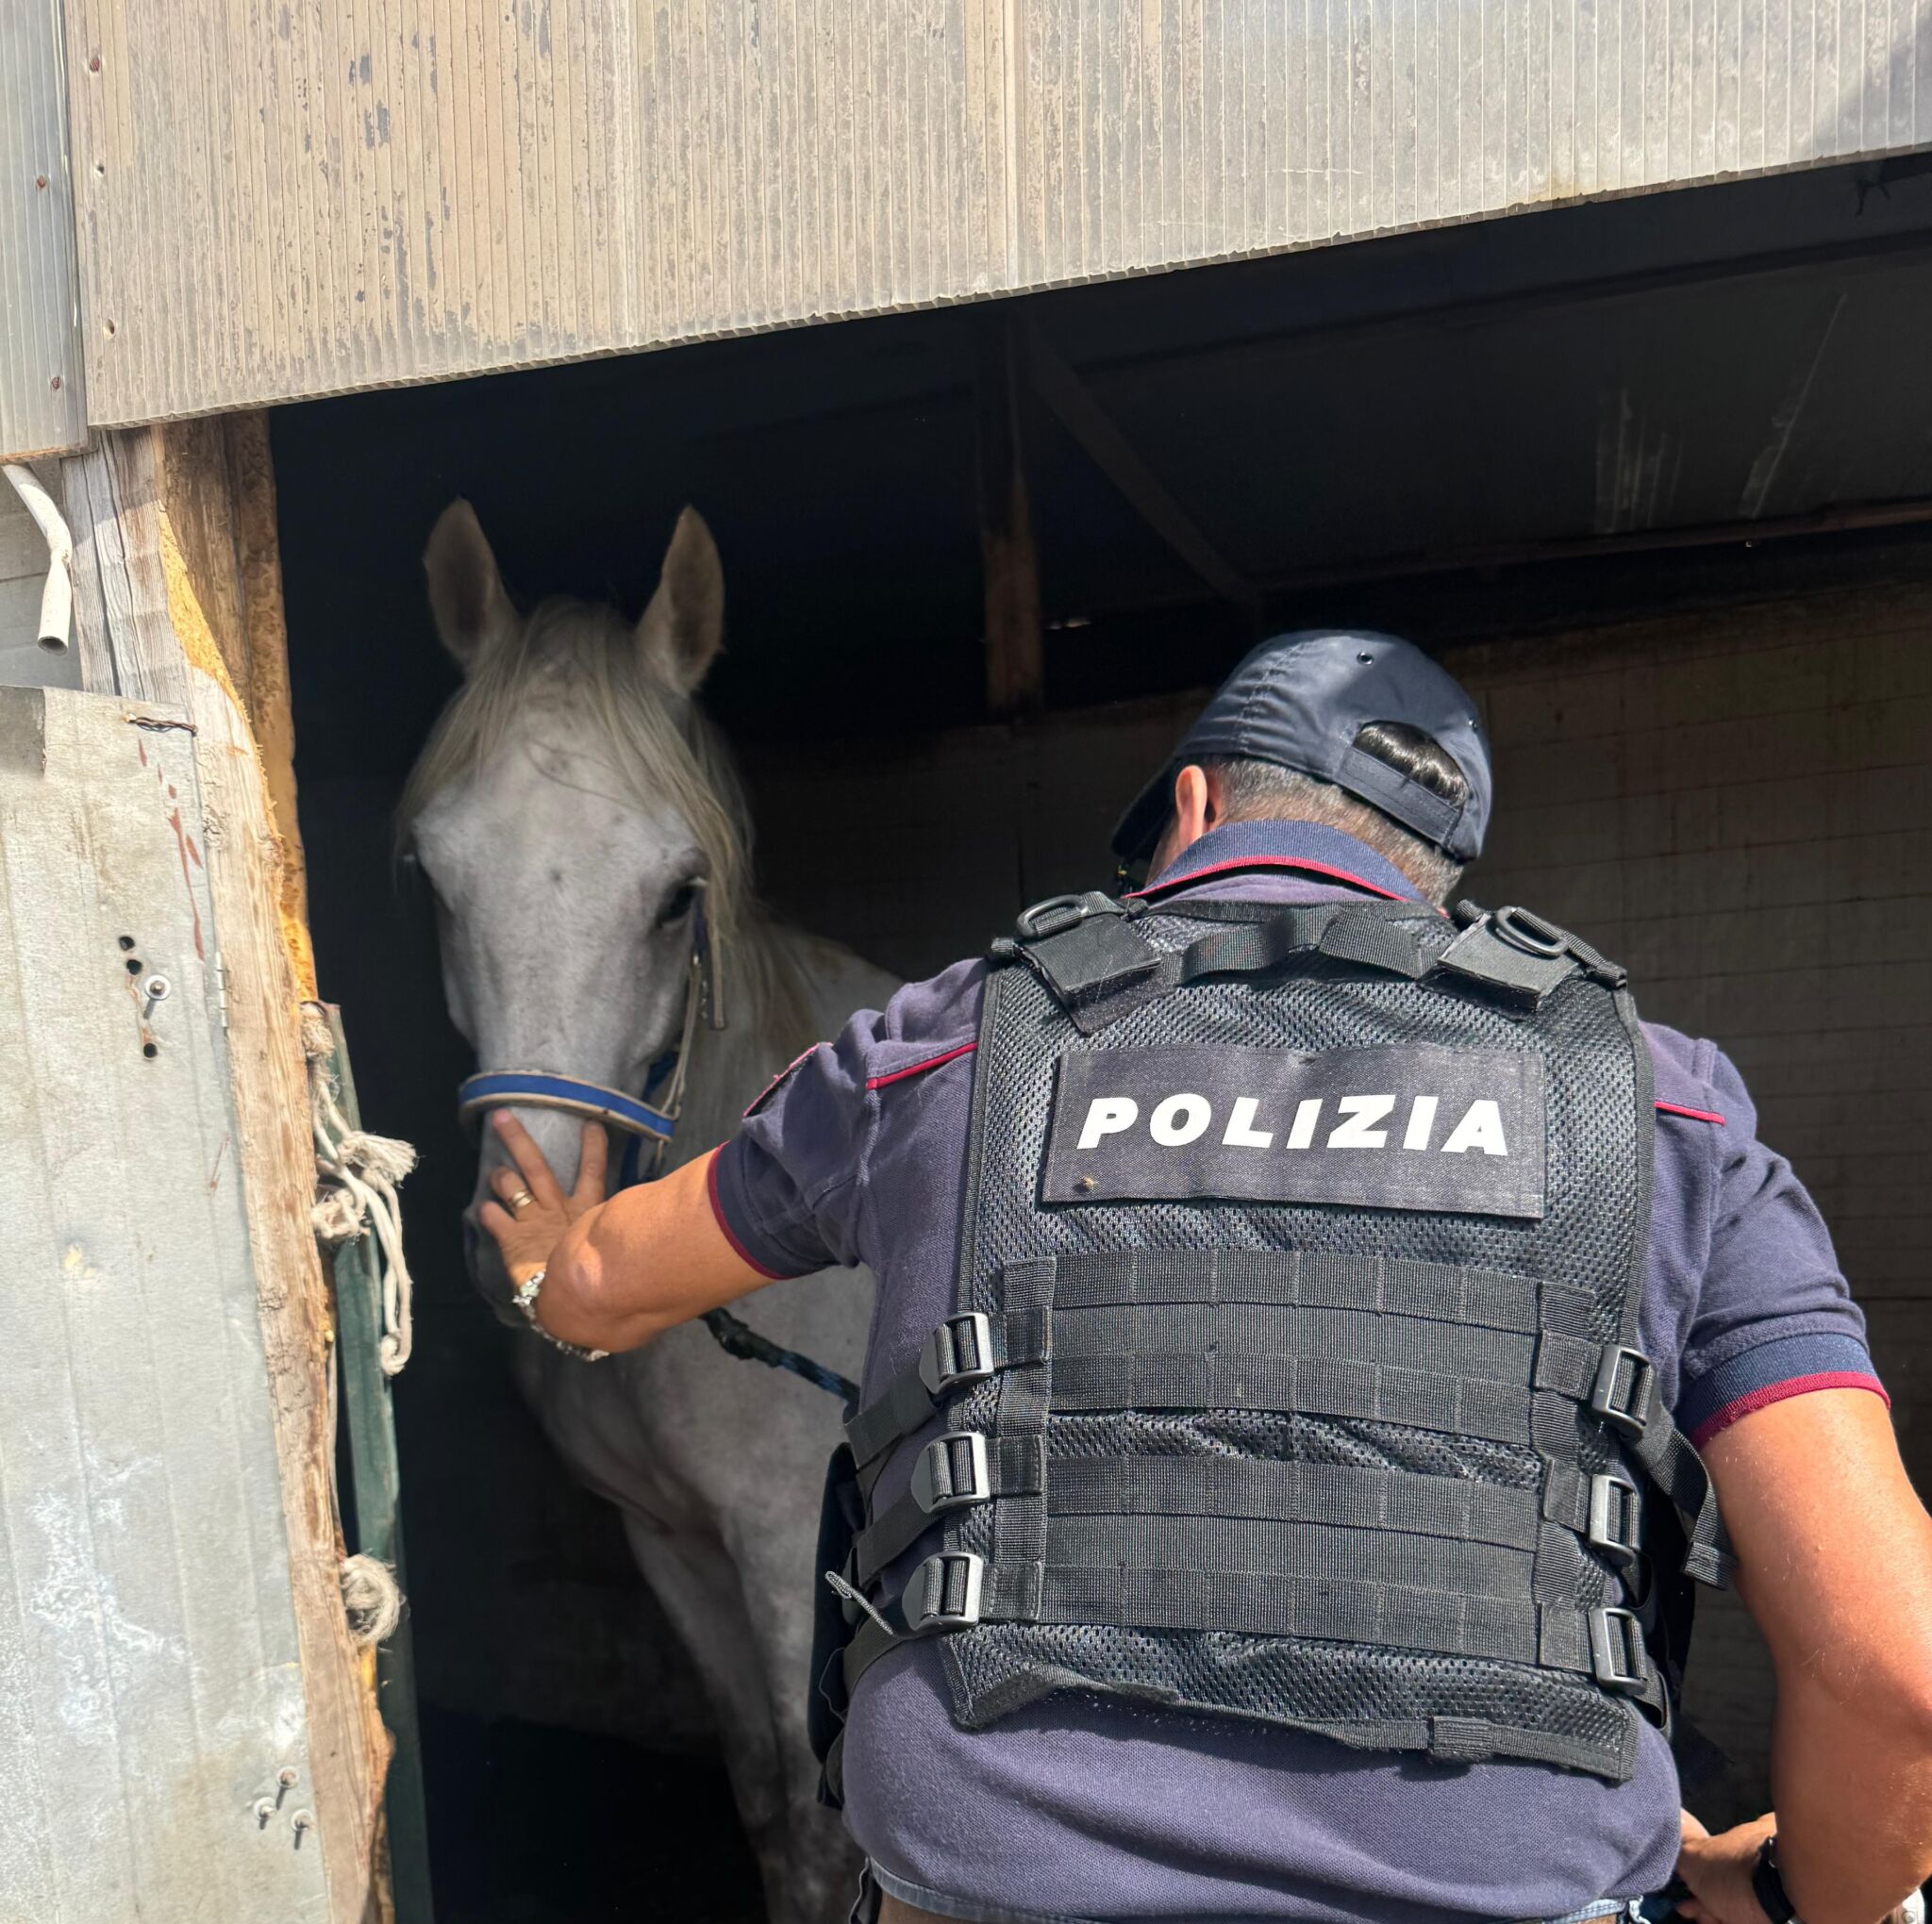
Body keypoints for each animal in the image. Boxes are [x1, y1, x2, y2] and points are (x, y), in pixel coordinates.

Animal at [402, 499, 895, 1921]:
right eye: (435, 880)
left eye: (679, 894)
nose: (537, 1238)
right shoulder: (669, 1543)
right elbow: (768, 1802)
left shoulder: (789, 1546)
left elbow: (830, 1833)